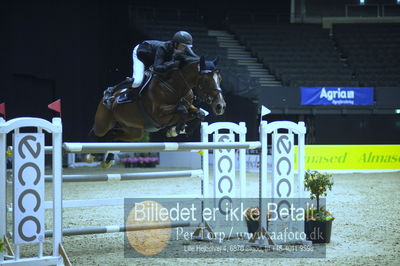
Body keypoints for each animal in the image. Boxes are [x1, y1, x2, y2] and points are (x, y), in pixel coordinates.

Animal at [90, 51, 227, 166]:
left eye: (220, 79)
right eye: (205, 80)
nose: (220, 106)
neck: (176, 87)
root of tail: (110, 97)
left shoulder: (188, 107)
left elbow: (200, 113)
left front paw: (180, 130)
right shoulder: (158, 115)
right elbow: (181, 109)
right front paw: (177, 129)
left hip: (134, 132)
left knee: (115, 137)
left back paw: (109, 158)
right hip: (103, 125)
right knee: (97, 133)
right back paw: (91, 155)